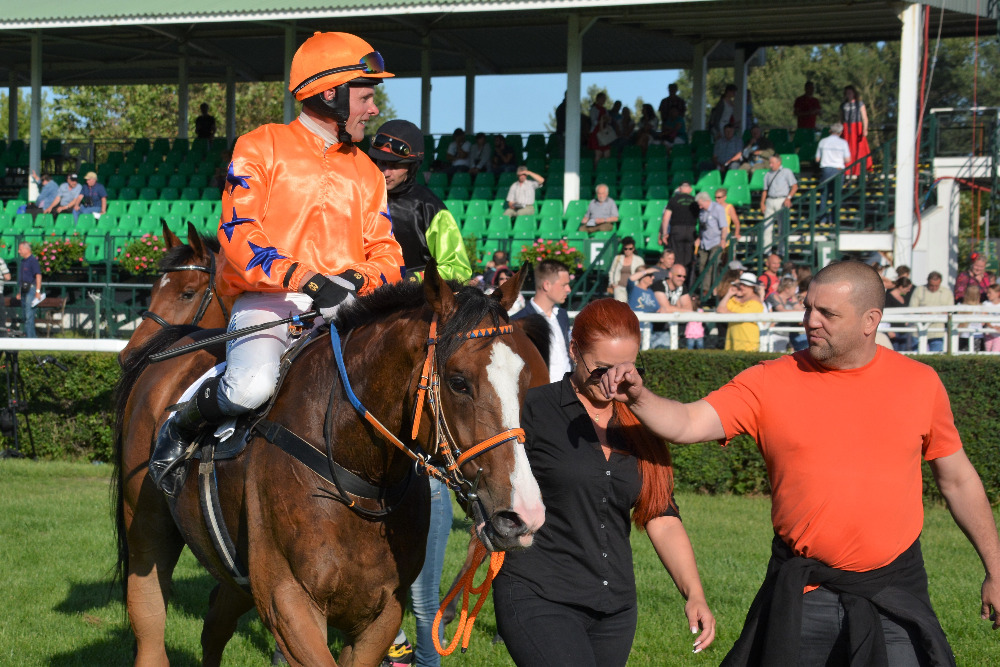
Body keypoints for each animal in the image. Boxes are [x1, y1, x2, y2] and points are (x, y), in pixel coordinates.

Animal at [115, 264, 548, 664]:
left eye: (527, 382)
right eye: (459, 382)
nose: (523, 515)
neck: (353, 473)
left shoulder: (381, 614)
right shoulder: (288, 602)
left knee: (215, 624)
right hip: (147, 532)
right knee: (149, 621)